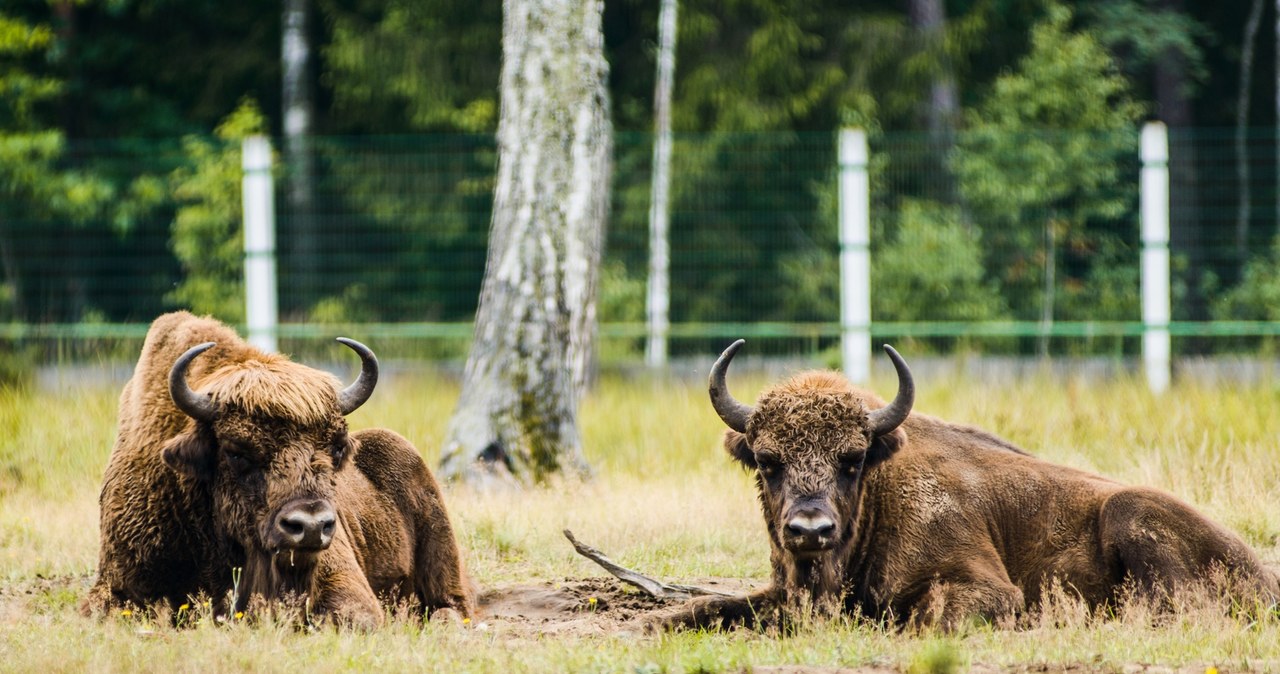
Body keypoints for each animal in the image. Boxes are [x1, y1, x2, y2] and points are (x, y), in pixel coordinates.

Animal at [660, 342, 1280, 634]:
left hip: (1131, 510)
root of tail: (1264, 575)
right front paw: (655, 621)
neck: (883, 494)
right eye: (767, 461)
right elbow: (710, 604)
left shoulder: (987, 588)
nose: (810, 530)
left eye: (852, 460)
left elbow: (925, 615)